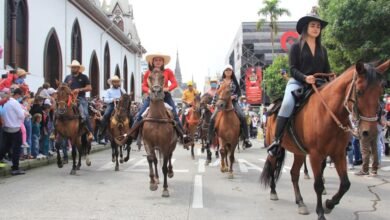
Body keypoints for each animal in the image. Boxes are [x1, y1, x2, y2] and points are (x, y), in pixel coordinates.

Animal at [142, 69, 177, 198]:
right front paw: (152, 182)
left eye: (163, 77)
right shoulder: (148, 143)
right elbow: (151, 159)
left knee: (170, 157)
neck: (156, 118)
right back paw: (156, 178)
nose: (156, 91)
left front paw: (165, 189)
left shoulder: (165, 145)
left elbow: (164, 167)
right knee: (155, 160)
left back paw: (171, 172)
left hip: (172, 144)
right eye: (150, 77)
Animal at [260, 60, 388, 220]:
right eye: (359, 91)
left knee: (294, 174)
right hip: (275, 147)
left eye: (380, 92)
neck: (328, 113)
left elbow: (345, 184)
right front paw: (321, 212)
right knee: (272, 166)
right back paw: (273, 192)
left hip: (299, 152)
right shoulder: (315, 155)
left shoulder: (338, 153)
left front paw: (329, 205)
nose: (369, 132)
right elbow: (318, 184)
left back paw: (300, 202)